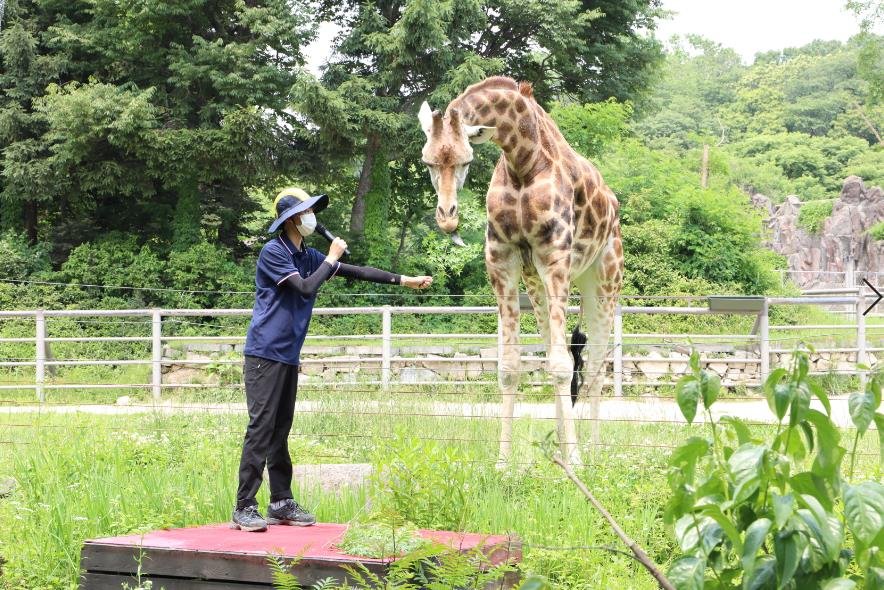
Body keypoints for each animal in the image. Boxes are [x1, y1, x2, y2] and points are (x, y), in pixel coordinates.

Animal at [418, 77, 624, 468]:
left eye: (467, 159)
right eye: (428, 161)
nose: (447, 216)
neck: (523, 161)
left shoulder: (556, 257)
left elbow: (561, 365)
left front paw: (576, 461)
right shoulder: (503, 261)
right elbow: (511, 366)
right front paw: (503, 462)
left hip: (604, 277)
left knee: (594, 366)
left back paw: (592, 452)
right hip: (538, 283)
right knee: (563, 354)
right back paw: (561, 445)